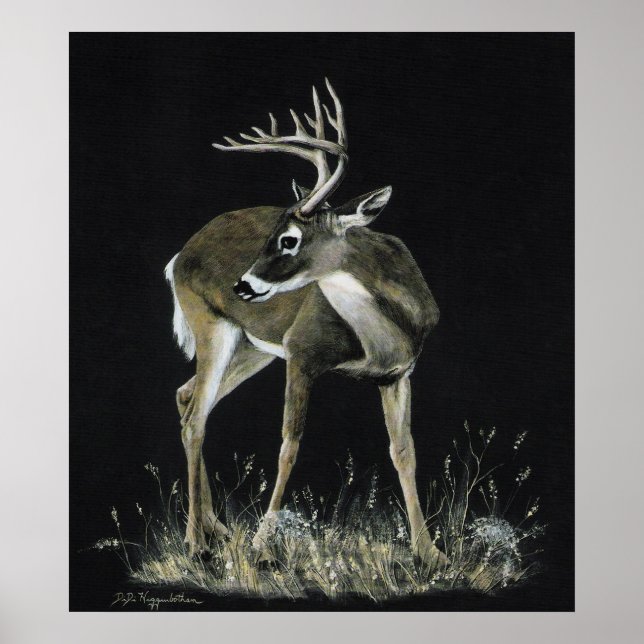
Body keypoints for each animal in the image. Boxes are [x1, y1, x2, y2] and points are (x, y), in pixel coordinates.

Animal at [164, 79, 447, 568]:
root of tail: (180, 255)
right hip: (211, 325)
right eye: (270, 234)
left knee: (188, 398)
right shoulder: (301, 352)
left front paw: (430, 554)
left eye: (289, 239)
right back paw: (196, 542)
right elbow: (288, 447)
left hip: (253, 347)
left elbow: (404, 452)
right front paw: (262, 546)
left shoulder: (399, 374)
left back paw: (216, 527)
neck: (383, 335)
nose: (242, 285)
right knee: (197, 416)